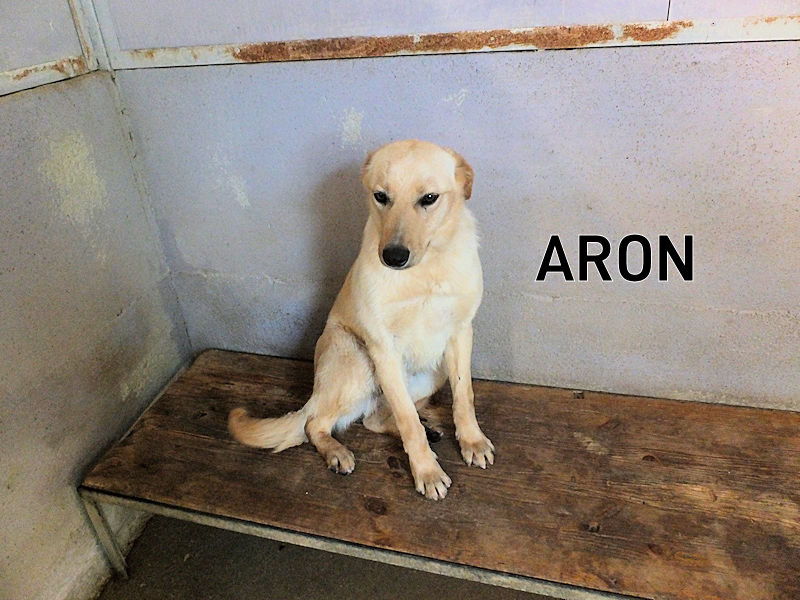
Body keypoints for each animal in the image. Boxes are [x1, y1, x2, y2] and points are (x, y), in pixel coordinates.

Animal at [228, 140, 494, 500]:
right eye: (381, 196)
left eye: (429, 198)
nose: (393, 257)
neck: (425, 271)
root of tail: (316, 394)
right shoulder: (383, 348)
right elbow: (408, 422)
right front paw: (426, 471)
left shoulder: (460, 333)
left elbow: (464, 397)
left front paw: (471, 441)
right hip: (357, 357)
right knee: (316, 423)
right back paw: (336, 452)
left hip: (433, 372)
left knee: (376, 419)